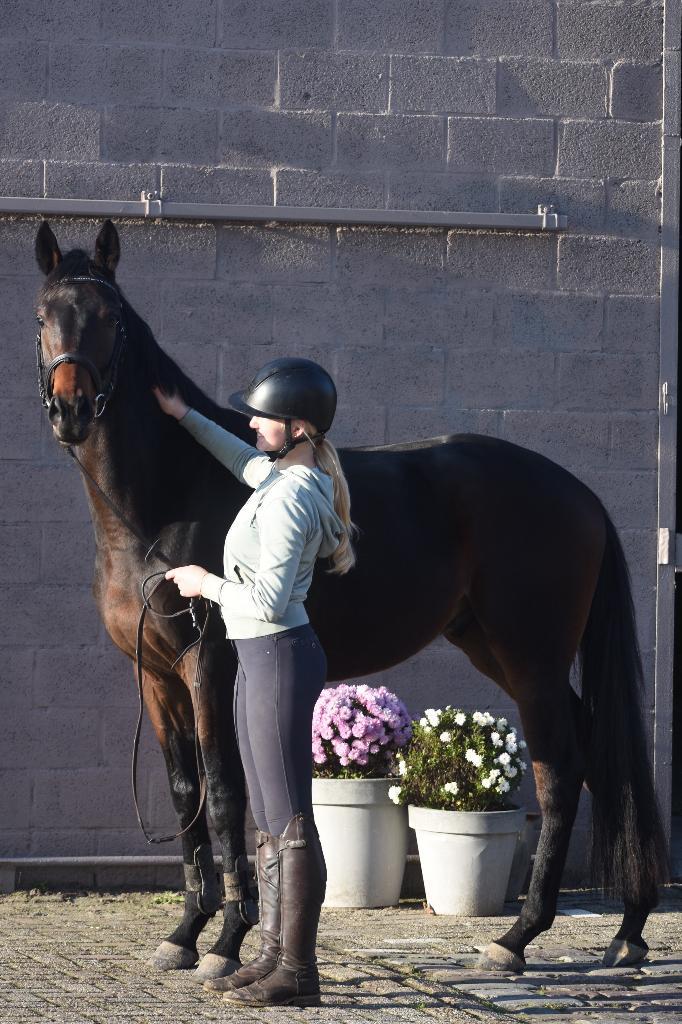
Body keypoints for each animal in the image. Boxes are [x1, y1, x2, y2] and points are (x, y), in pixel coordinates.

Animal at [33, 218, 668, 978]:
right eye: (42, 315)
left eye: (111, 319)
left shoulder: (209, 667)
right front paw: (184, 933)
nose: (70, 409)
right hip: (493, 648)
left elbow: (223, 795)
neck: (164, 498)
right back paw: (626, 929)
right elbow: (186, 793)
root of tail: (582, 495)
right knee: (597, 756)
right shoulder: (155, 677)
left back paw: (518, 938)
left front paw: (225, 942)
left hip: (531, 659)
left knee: (560, 768)